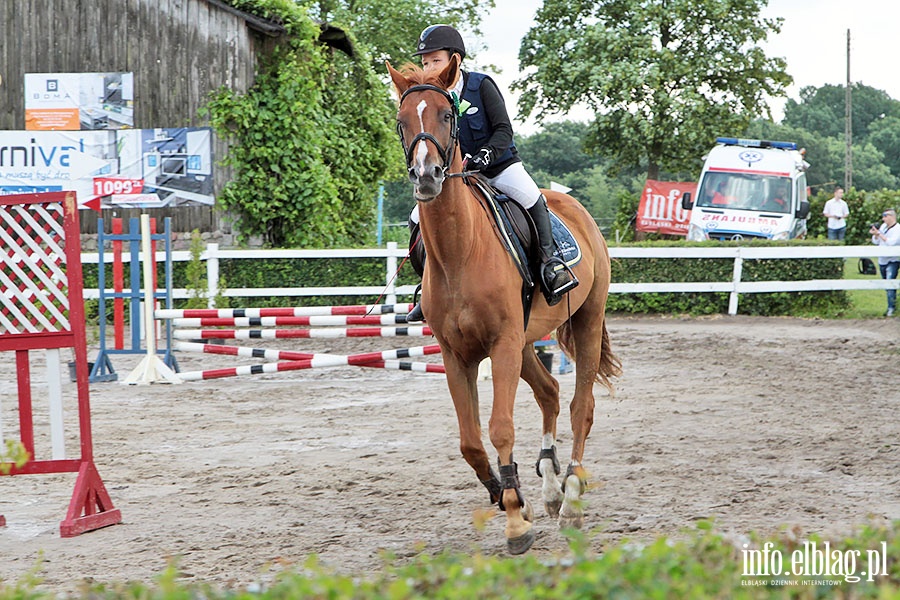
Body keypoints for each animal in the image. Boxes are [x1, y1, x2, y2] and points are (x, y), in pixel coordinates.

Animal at [386, 56, 620, 552]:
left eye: (447, 115)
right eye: (401, 120)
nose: (427, 177)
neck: (461, 251)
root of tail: (573, 205)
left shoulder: (502, 344)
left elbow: (500, 427)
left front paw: (515, 519)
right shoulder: (459, 355)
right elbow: (471, 442)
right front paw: (510, 498)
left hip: (584, 322)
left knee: (581, 407)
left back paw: (571, 497)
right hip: (527, 341)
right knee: (550, 393)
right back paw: (549, 489)